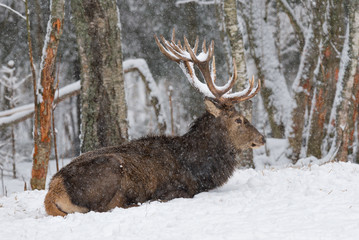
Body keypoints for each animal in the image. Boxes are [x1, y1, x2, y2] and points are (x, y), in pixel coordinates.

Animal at [44, 29, 264, 217]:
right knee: (105, 208)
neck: (198, 168)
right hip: (110, 171)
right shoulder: (178, 187)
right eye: (238, 120)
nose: (261, 138)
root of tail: (53, 192)